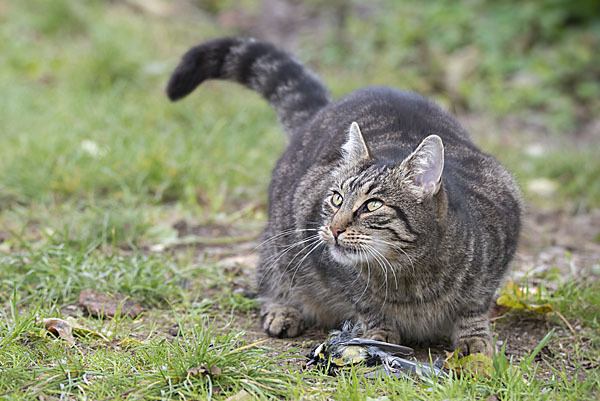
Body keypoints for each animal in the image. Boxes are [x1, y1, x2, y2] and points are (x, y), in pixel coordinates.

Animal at [166, 38, 524, 356]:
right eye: (336, 199)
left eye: (372, 205)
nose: (334, 228)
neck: (410, 274)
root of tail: (322, 109)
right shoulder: (326, 257)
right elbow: (366, 304)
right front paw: (379, 336)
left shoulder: (502, 228)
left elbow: (474, 306)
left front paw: (475, 340)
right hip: (280, 242)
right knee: (269, 279)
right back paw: (282, 310)